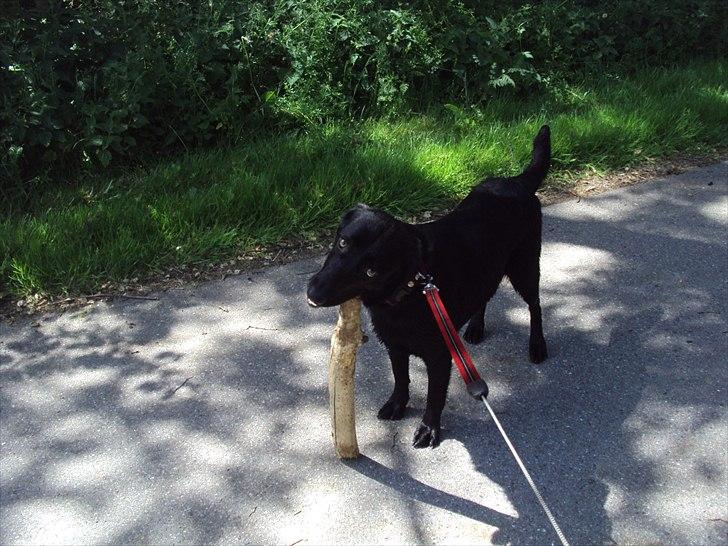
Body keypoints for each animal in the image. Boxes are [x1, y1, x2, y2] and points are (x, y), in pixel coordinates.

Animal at [308, 124, 552, 446]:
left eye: (371, 271)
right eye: (343, 242)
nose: (313, 293)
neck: (409, 290)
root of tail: (517, 181)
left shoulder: (439, 358)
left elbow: (434, 396)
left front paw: (428, 428)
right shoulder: (395, 346)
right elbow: (401, 379)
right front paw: (397, 405)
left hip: (525, 268)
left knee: (535, 305)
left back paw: (537, 345)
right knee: (485, 295)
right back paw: (476, 328)